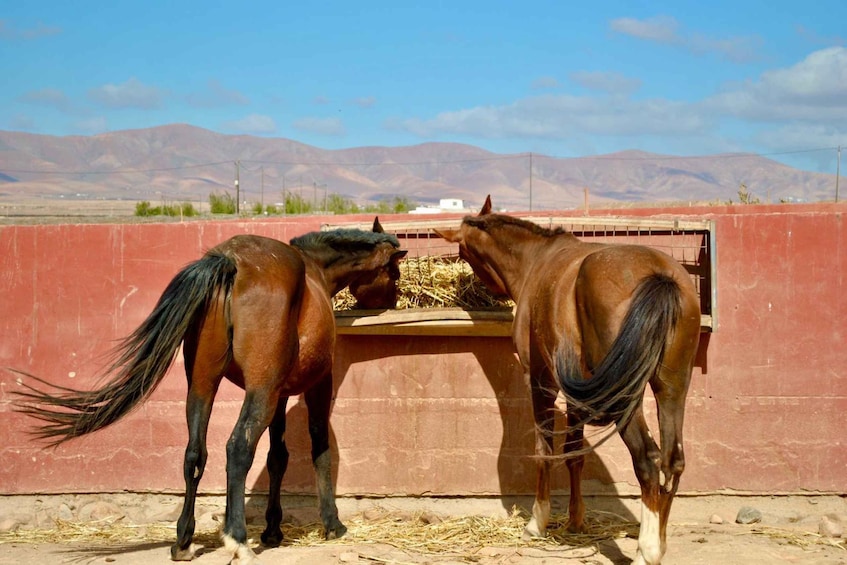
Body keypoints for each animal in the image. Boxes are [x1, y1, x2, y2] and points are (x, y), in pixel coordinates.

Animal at [13, 218, 408, 565]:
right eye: (395, 272)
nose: (394, 299)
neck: (315, 270)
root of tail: (230, 262)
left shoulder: (279, 394)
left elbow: (277, 457)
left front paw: (273, 530)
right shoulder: (314, 384)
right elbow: (318, 447)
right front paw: (332, 523)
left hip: (203, 385)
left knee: (194, 453)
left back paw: (184, 541)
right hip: (257, 392)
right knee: (237, 447)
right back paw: (238, 540)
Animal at [434, 196, 701, 565]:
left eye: (463, 253)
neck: (538, 259)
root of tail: (659, 275)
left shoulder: (540, 380)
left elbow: (544, 450)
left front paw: (537, 521)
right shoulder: (580, 392)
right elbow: (574, 454)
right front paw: (576, 520)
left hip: (625, 398)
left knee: (648, 458)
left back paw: (646, 551)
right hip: (672, 389)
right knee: (674, 460)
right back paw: (659, 541)